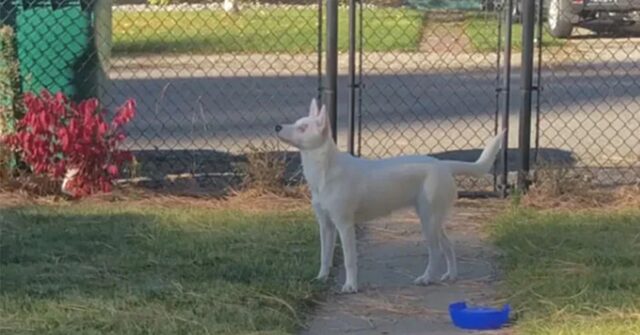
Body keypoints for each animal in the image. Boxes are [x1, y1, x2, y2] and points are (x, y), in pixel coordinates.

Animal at [276, 99, 504, 294]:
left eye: (303, 128)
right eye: (296, 123)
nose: (277, 127)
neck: (325, 170)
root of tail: (443, 165)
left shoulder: (345, 225)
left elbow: (350, 260)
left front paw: (350, 286)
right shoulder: (326, 225)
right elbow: (325, 256)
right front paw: (321, 278)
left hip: (428, 221)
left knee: (436, 251)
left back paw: (426, 278)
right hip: (434, 220)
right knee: (448, 246)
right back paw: (451, 275)